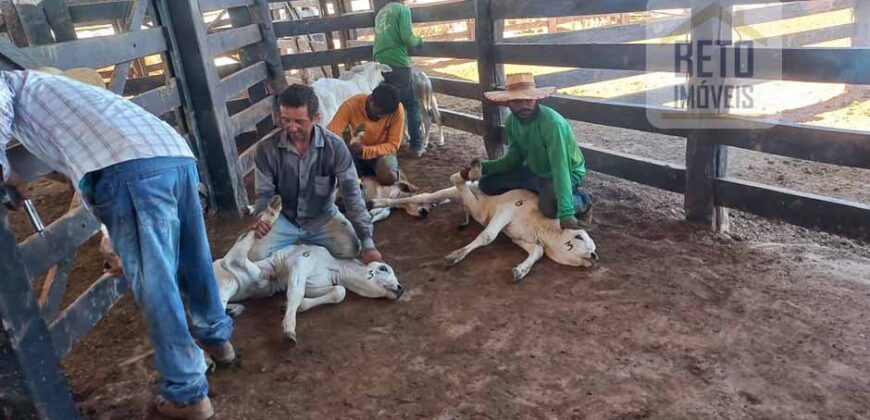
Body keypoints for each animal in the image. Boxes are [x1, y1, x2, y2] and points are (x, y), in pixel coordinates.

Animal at [218, 196, 408, 344]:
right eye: (383, 268)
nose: (400, 288)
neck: (334, 267)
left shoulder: (316, 283)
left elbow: (339, 292)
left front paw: (291, 306)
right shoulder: (301, 262)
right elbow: (296, 292)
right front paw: (289, 329)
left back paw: (233, 310)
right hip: (230, 279)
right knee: (232, 259)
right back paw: (272, 210)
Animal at [368, 162, 600, 280]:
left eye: (593, 245)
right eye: (579, 237)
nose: (594, 256)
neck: (539, 226)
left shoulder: (520, 238)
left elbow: (538, 251)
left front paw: (521, 270)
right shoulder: (506, 210)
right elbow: (488, 235)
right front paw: (454, 257)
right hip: (454, 192)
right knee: (423, 195)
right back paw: (375, 203)